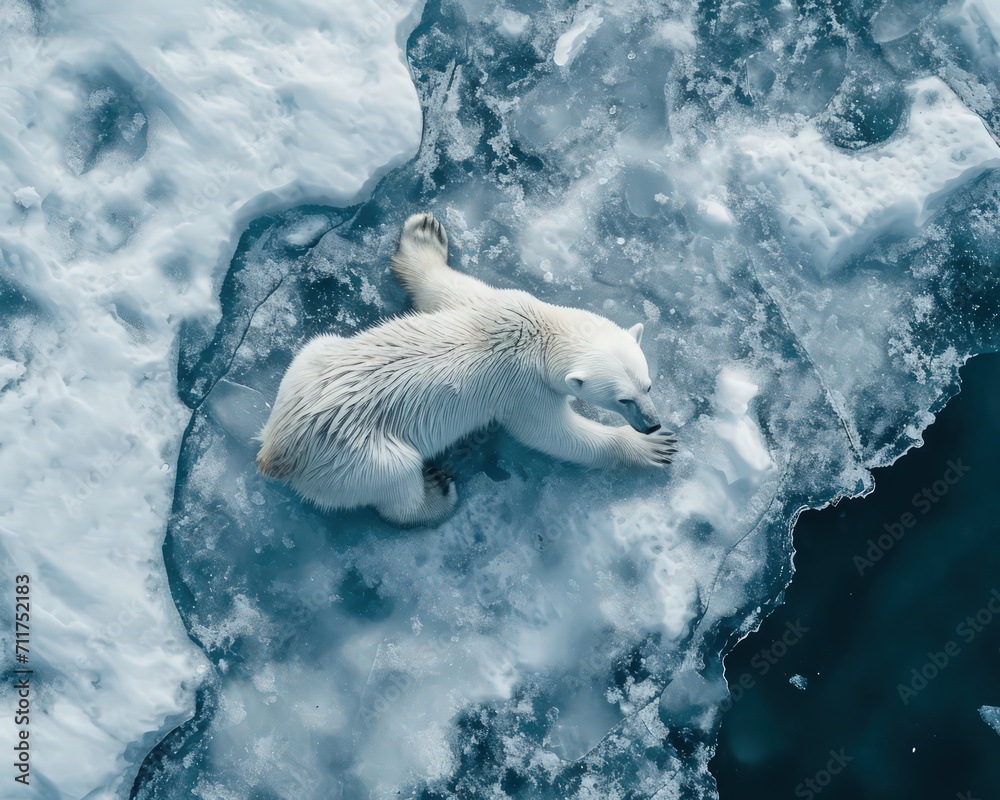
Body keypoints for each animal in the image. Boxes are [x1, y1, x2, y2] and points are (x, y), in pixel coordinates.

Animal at [255, 212, 676, 526]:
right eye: (623, 400)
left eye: (649, 386)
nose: (652, 423)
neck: (536, 336)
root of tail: (277, 451)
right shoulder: (524, 390)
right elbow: (554, 435)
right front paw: (650, 446)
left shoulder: (492, 304)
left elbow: (443, 288)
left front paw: (424, 233)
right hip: (357, 455)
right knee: (394, 480)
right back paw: (436, 492)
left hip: (310, 361)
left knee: (316, 345)